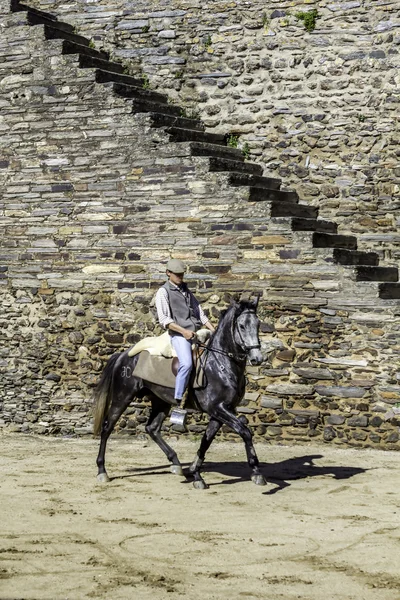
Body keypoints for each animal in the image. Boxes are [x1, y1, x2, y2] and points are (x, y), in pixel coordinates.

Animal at [93, 296, 268, 488]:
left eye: (258, 324)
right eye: (242, 326)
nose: (257, 358)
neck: (220, 362)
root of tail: (123, 356)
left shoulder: (222, 411)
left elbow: (206, 440)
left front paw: (195, 473)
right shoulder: (218, 408)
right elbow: (245, 432)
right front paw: (256, 472)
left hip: (160, 401)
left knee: (152, 428)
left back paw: (176, 463)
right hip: (122, 397)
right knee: (107, 427)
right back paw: (102, 471)